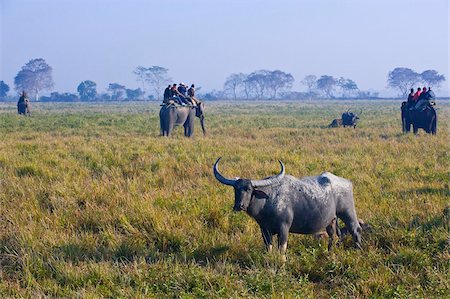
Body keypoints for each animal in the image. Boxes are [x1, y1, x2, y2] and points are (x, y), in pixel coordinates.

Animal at [213, 158, 364, 258]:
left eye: (249, 189)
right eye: (236, 189)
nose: (239, 205)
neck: (268, 200)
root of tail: (347, 182)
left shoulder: (284, 228)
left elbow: (282, 248)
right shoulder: (264, 229)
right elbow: (269, 246)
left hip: (348, 213)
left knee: (355, 230)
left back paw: (358, 250)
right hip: (331, 220)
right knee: (335, 235)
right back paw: (330, 253)